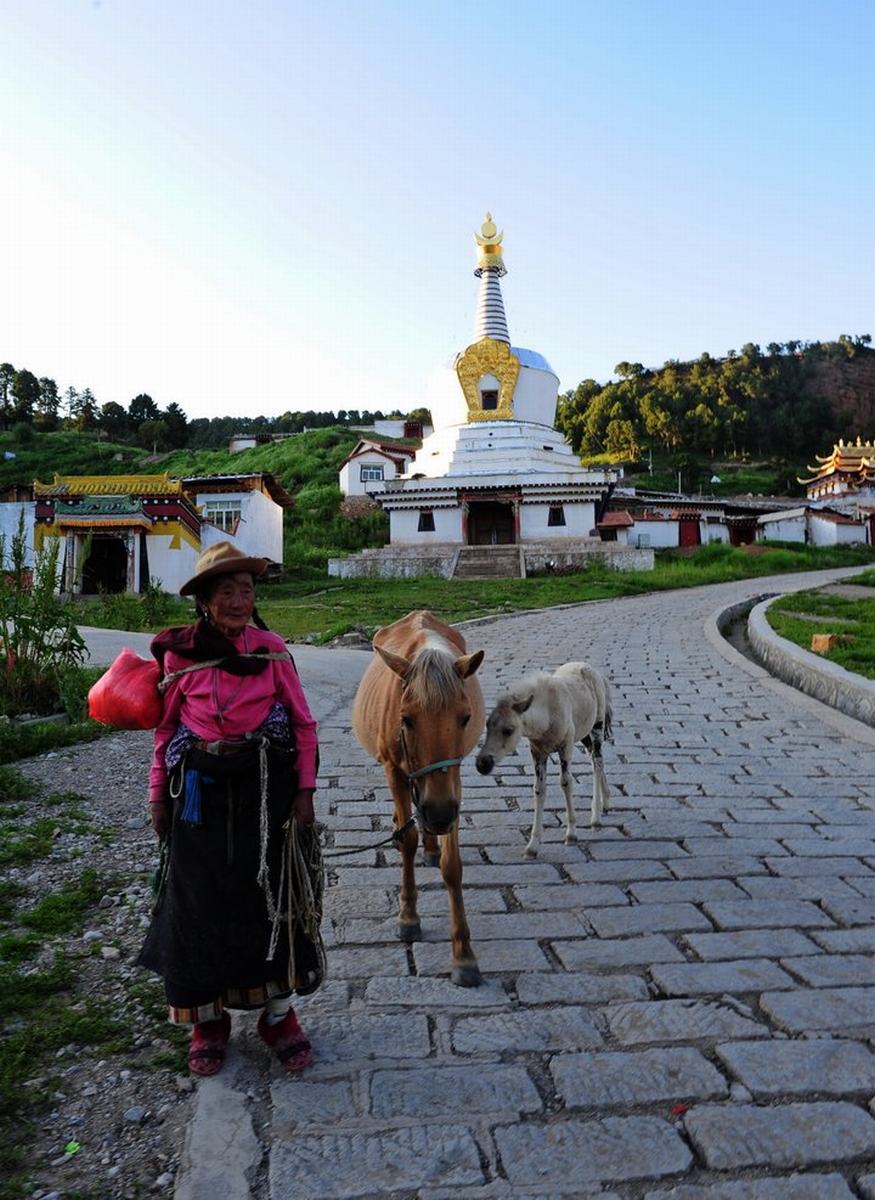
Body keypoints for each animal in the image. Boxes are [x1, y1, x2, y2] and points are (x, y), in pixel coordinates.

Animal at [350, 609, 484, 984]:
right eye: (406, 718)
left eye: (465, 717)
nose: (438, 815)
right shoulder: (396, 772)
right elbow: (407, 838)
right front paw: (408, 916)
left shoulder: (453, 781)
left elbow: (452, 865)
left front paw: (463, 954)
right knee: (405, 822)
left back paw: (431, 844)